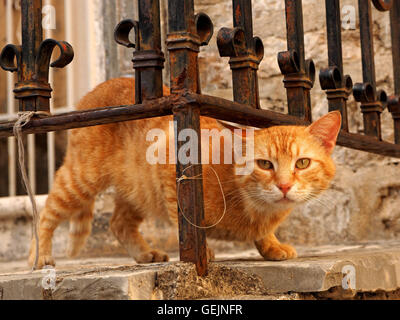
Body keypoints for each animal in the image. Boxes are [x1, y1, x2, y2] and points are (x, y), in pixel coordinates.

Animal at [28, 77, 340, 268]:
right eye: (265, 164)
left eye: (302, 163)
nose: (284, 186)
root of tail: (97, 87)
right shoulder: (173, 167)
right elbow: (186, 218)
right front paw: (201, 252)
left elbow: (264, 235)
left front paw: (271, 246)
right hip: (80, 179)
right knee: (45, 214)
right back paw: (38, 257)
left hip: (138, 190)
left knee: (119, 223)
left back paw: (144, 253)